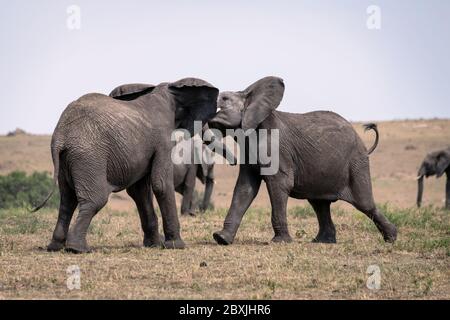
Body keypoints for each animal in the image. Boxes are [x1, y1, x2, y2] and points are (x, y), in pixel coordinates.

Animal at [34, 77, 219, 252]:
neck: (169, 90)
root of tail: (60, 136)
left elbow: (140, 191)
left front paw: (154, 245)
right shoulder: (163, 139)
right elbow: (160, 184)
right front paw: (176, 246)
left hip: (67, 160)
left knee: (67, 199)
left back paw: (55, 246)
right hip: (88, 156)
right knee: (96, 199)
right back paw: (78, 249)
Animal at [207, 75, 398, 245]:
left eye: (224, 99)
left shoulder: (276, 148)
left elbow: (279, 183)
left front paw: (280, 242)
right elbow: (245, 188)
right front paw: (221, 238)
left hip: (356, 163)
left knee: (364, 203)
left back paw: (391, 238)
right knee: (319, 204)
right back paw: (322, 241)